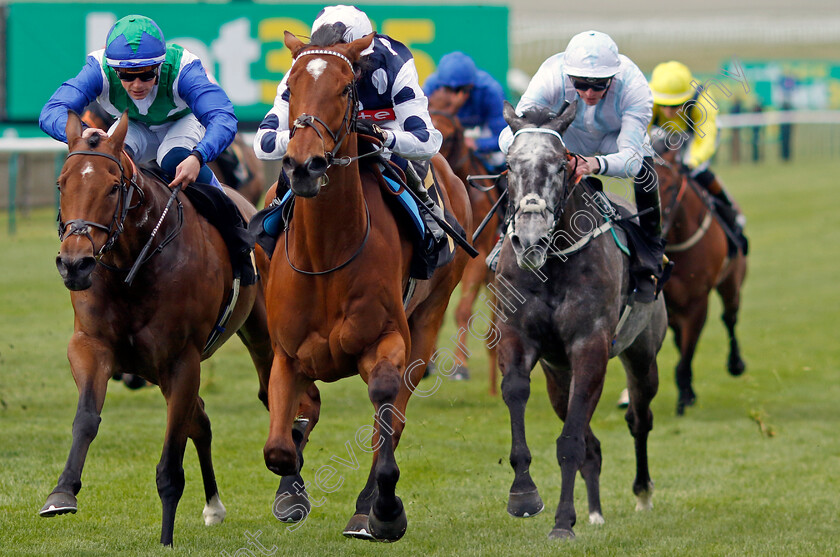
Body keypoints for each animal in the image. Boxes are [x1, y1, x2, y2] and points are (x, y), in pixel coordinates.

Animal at [41, 111, 272, 544]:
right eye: (62, 183)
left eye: (113, 187)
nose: (75, 263)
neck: (133, 264)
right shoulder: (91, 345)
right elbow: (87, 417)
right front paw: (62, 492)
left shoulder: (181, 361)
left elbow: (170, 461)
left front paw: (166, 537)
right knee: (200, 420)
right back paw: (214, 506)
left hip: (261, 334)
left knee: (277, 397)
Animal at [260, 31, 472, 544]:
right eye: (290, 87)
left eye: (344, 89)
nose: (304, 165)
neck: (326, 256)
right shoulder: (287, 353)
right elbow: (281, 444)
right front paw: (290, 494)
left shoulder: (387, 338)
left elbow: (385, 410)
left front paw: (384, 511)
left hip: (428, 319)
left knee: (394, 414)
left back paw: (368, 508)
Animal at [648, 136, 748, 412]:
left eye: (671, 187)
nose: (655, 229)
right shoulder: (669, 302)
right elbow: (680, 344)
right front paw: (687, 392)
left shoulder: (697, 302)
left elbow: (687, 352)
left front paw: (684, 397)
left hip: (732, 281)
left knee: (730, 318)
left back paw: (736, 363)